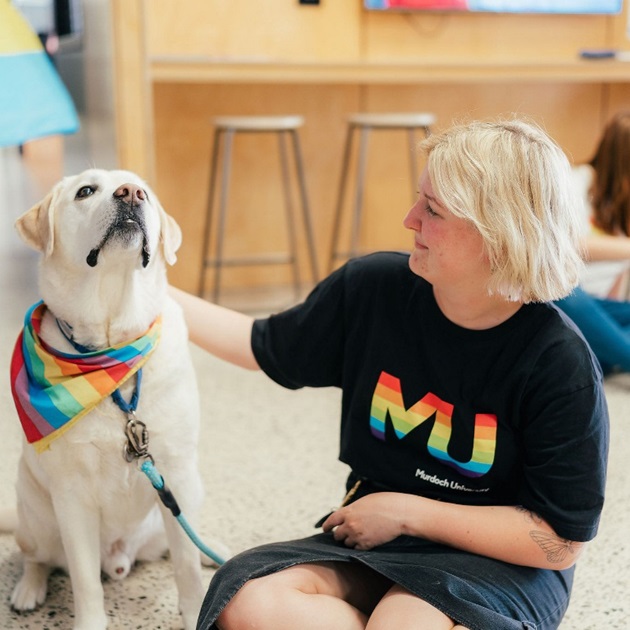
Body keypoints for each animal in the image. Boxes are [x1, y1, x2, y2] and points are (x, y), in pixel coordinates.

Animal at [5, 170, 225, 630]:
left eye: (145, 192)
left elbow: (185, 566)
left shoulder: (176, 472)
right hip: (35, 516)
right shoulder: (72, 497)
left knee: (185, 537)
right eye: (86, 191)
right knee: (35, 557)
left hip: (182, 496)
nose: (131, 194)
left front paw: (195, 610)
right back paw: (28, 589)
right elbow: (85, 579)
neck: (111, 350)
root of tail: (121, 557)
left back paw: (212, 549)